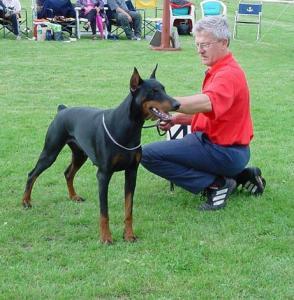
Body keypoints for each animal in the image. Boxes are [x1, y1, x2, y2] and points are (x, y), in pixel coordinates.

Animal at [21, 65, 180, 244]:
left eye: (164, 89)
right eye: (153, 91)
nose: (177, 104)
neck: (128, 127)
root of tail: (62, 109)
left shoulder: (132, 172)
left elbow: (129, 209)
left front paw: (129, 235)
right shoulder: (103, 174)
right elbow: (104, 212)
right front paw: (106, 237)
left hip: (80, 154)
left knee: (68, 173)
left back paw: (73, 196)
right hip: (51, 151)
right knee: (32, 174)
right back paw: (26, 201)